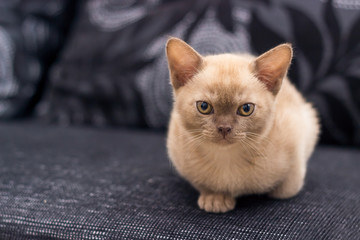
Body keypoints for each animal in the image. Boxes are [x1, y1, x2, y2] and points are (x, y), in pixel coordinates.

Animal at [165, 36, 320, 213]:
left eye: (246, 109)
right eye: (204, 107)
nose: (224, 128)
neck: (226, 159)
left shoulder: (298, 135)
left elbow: (287, 188)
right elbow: (203, 184)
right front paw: (215, 198)